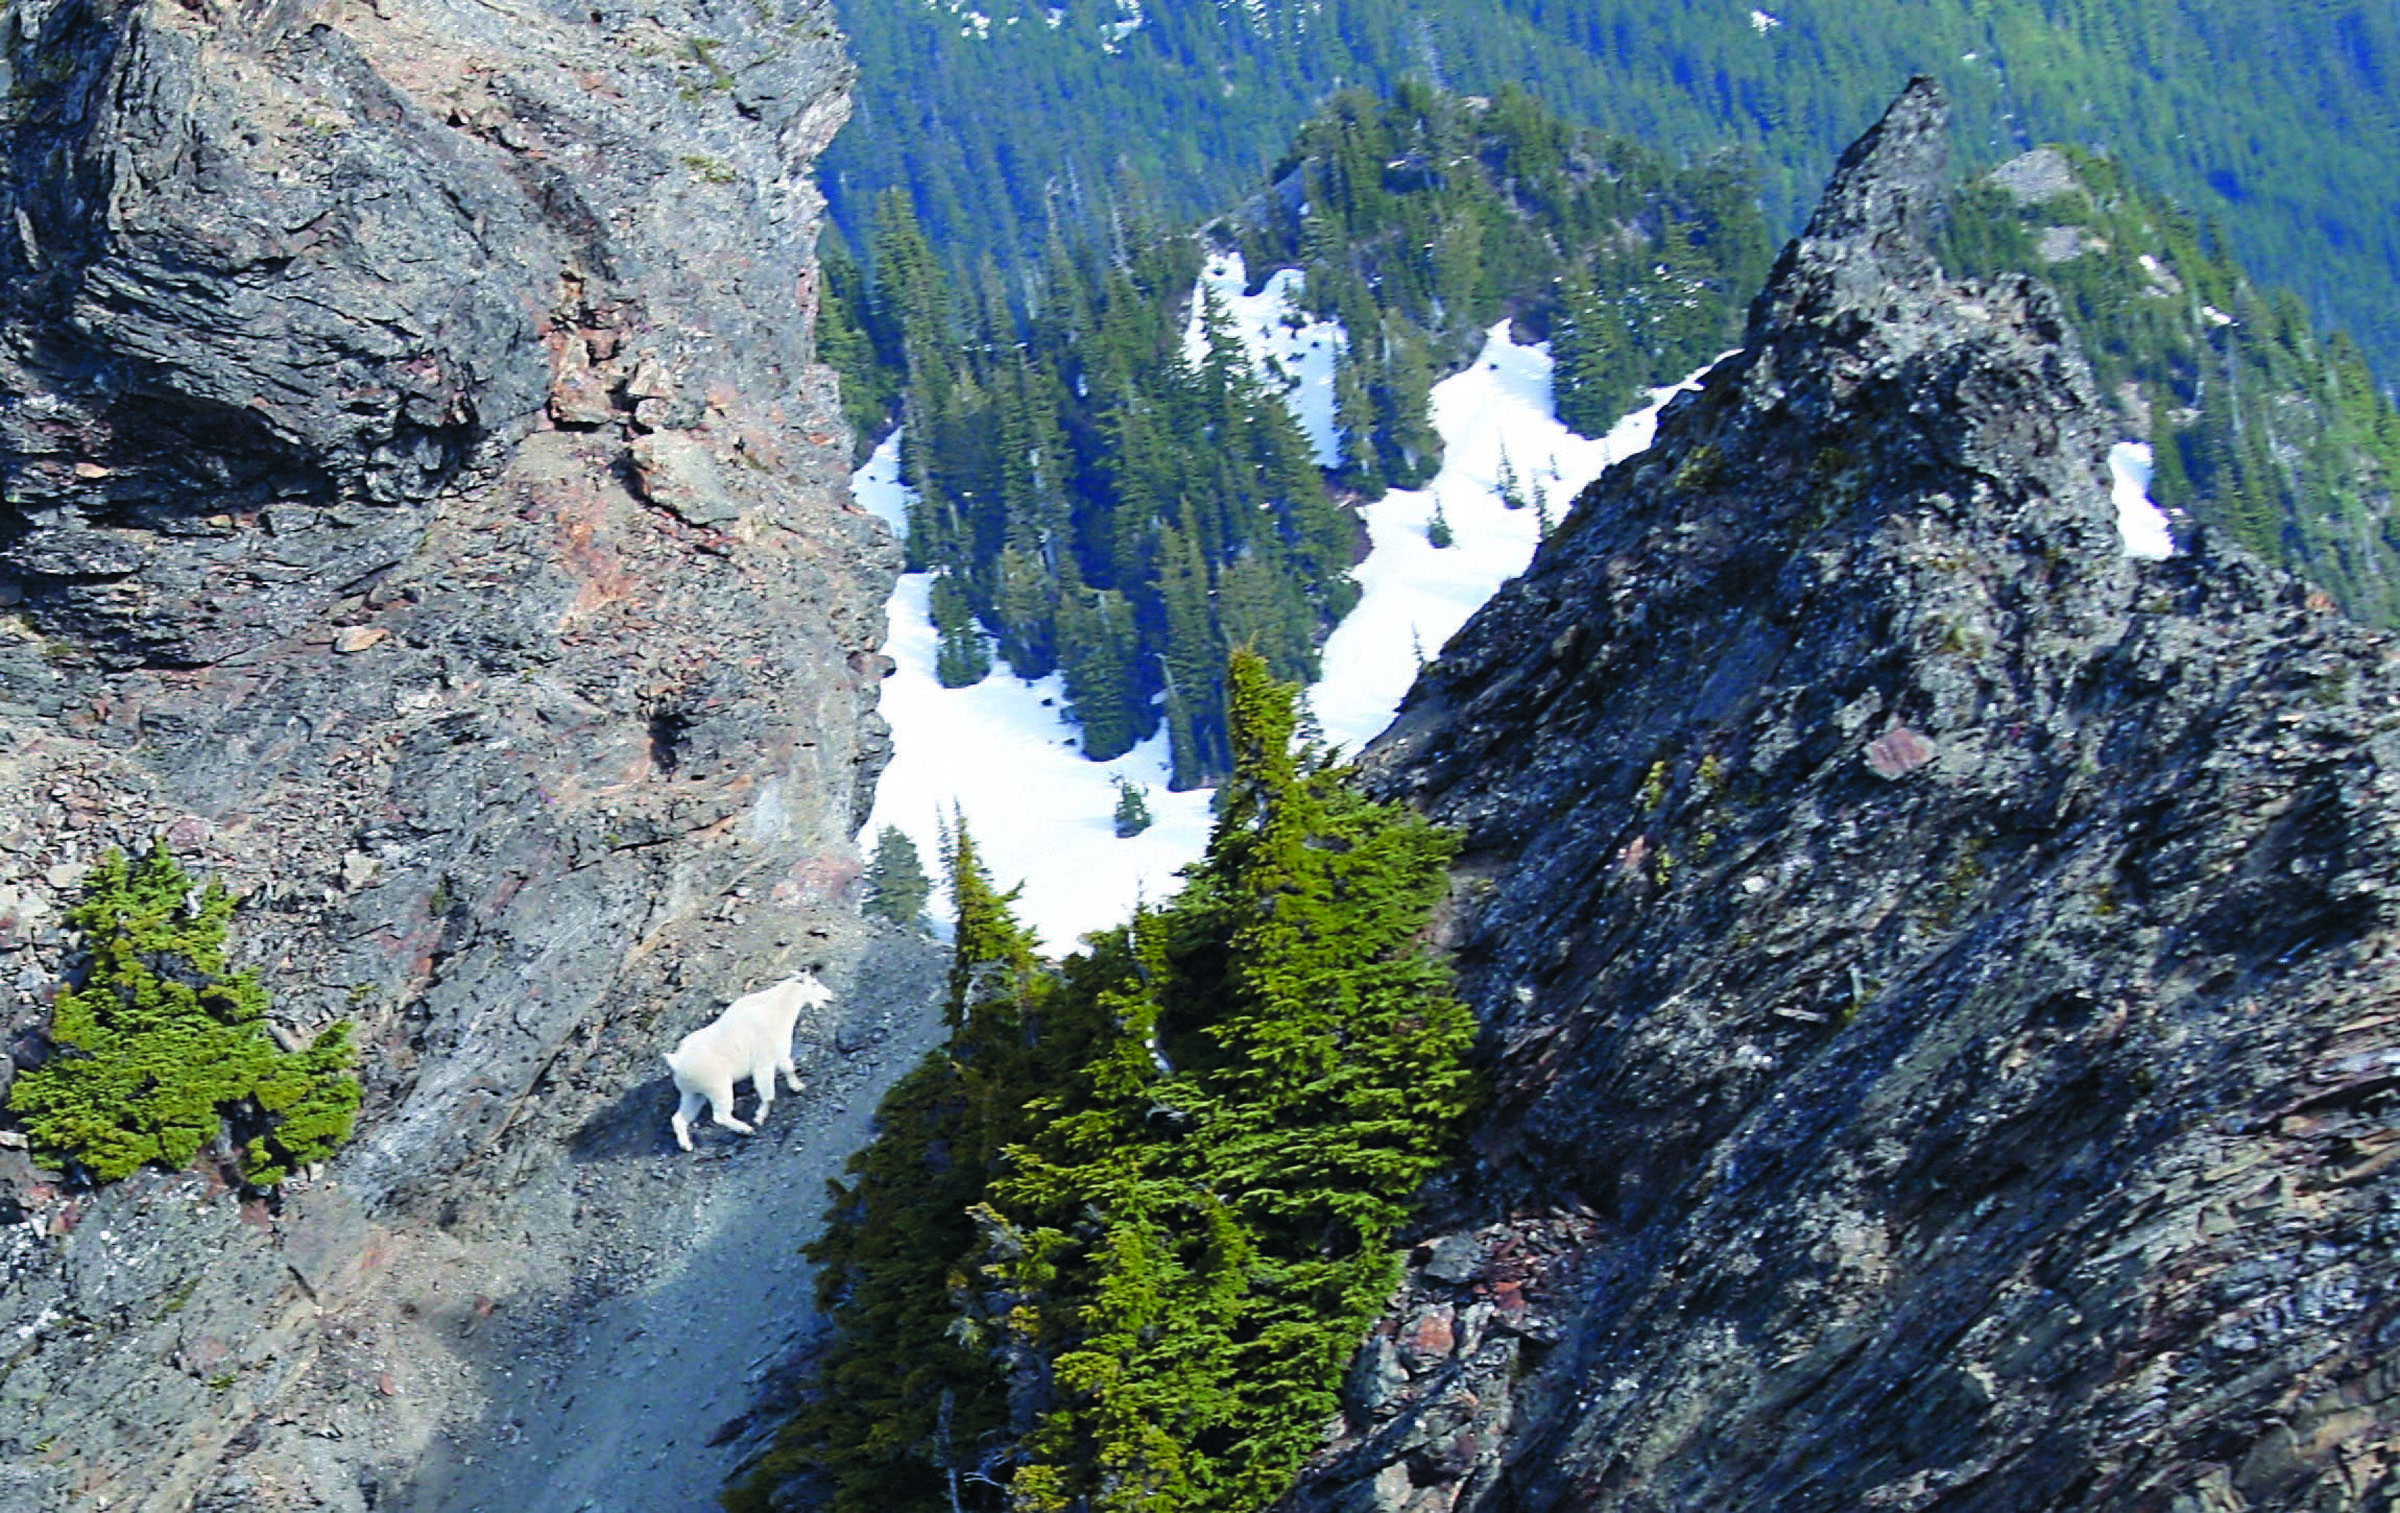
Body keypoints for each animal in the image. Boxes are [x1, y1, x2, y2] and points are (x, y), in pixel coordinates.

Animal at [667, 979, 835, 1157]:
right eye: (814, 983)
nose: (830, 995)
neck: (777, 1011)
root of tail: (676, 1062)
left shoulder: (780, 1052)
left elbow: (788, 1068)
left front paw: (798, 1086)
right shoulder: (763, 1063)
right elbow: (768, 1093)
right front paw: (759, 1117)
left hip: (693, 1092)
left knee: (680, 1117)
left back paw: (686, 1145)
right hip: (717, 1085)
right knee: (720, 1115)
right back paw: (746, 1129)